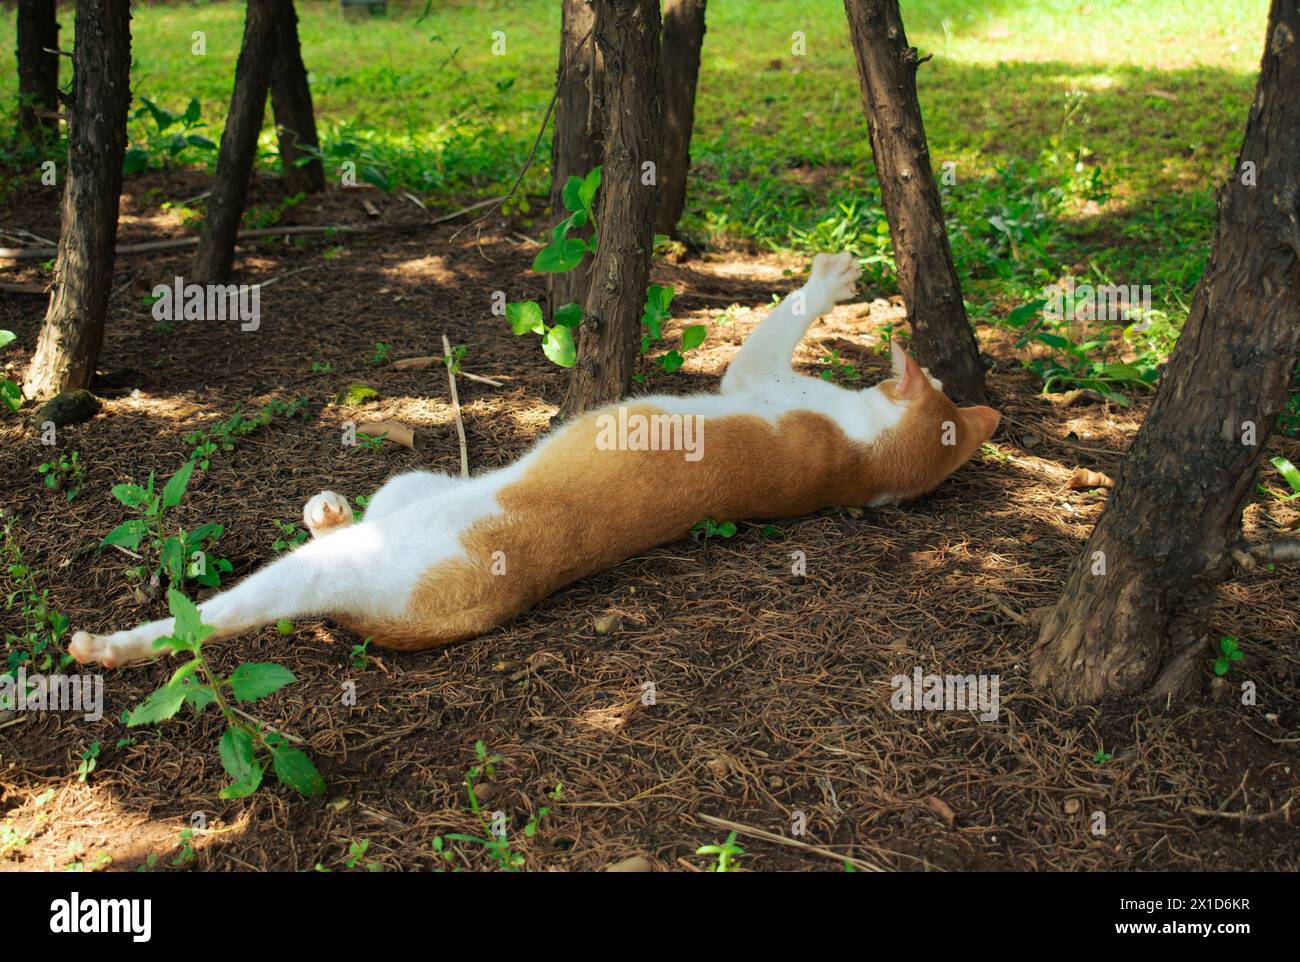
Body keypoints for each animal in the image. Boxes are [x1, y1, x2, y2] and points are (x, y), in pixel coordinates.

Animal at [71, 253, 998, 670]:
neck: (864, 463)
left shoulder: (756, 374)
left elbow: (785, 314)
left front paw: (831, 281)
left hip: (342, 565)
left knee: (213, 619)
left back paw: (107, 647)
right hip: (415, 485)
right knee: (354, 508)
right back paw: (326, 505)